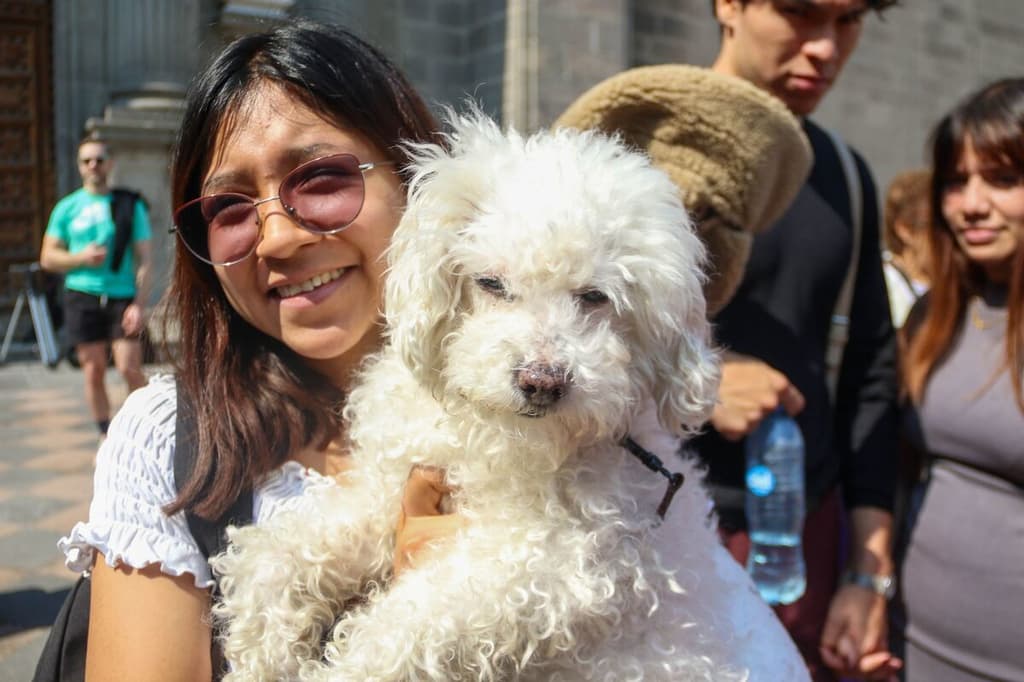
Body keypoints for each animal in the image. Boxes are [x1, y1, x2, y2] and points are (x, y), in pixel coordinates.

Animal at [214, 111, 806, 679]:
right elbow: (283, 550)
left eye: (595, 297)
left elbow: (408, 624)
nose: (543, 381)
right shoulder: (395, 485)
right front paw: (262, 653)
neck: (502, 443)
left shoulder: (550, 566)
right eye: (492, 284)